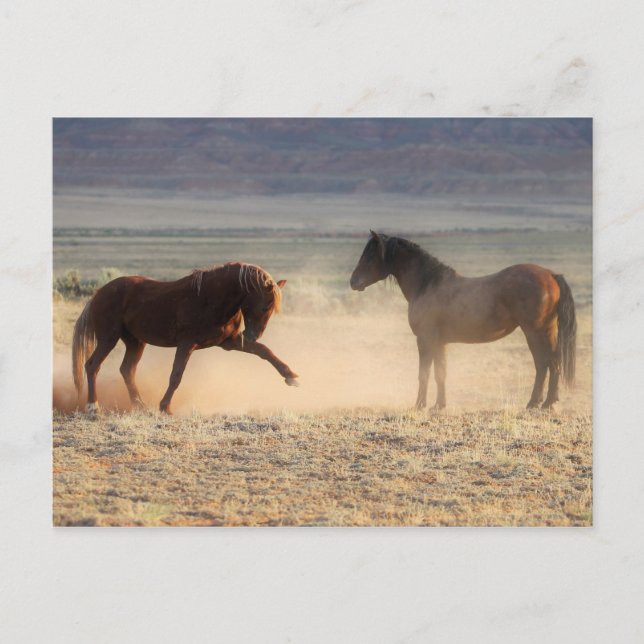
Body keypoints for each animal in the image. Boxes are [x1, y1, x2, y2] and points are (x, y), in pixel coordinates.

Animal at [72, 262, 299, 415]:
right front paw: (165, 407)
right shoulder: (187, 344)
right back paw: (93, 407)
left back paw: (140, 405)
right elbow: (176, 375)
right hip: (109, 338)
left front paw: (291, 376)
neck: (210, 299)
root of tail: (98, 293)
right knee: (92, 366)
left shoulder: (230, 342)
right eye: (265, 306)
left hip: (135, 342)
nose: (251, 335)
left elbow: (265, 352)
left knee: (127, 370)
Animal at [350, 231, 576, 410]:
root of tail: (551, 274)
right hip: (548, 331)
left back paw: (536, 403)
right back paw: (547, 402)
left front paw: (419, 405)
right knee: (553, 363)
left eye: (370, 256)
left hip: (534, 332)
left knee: (544, 364)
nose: (353, 282)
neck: (426, 284)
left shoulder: (424, 339)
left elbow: (424, 373)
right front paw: (439, 405)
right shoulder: (440, 342)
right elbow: (441, 373)